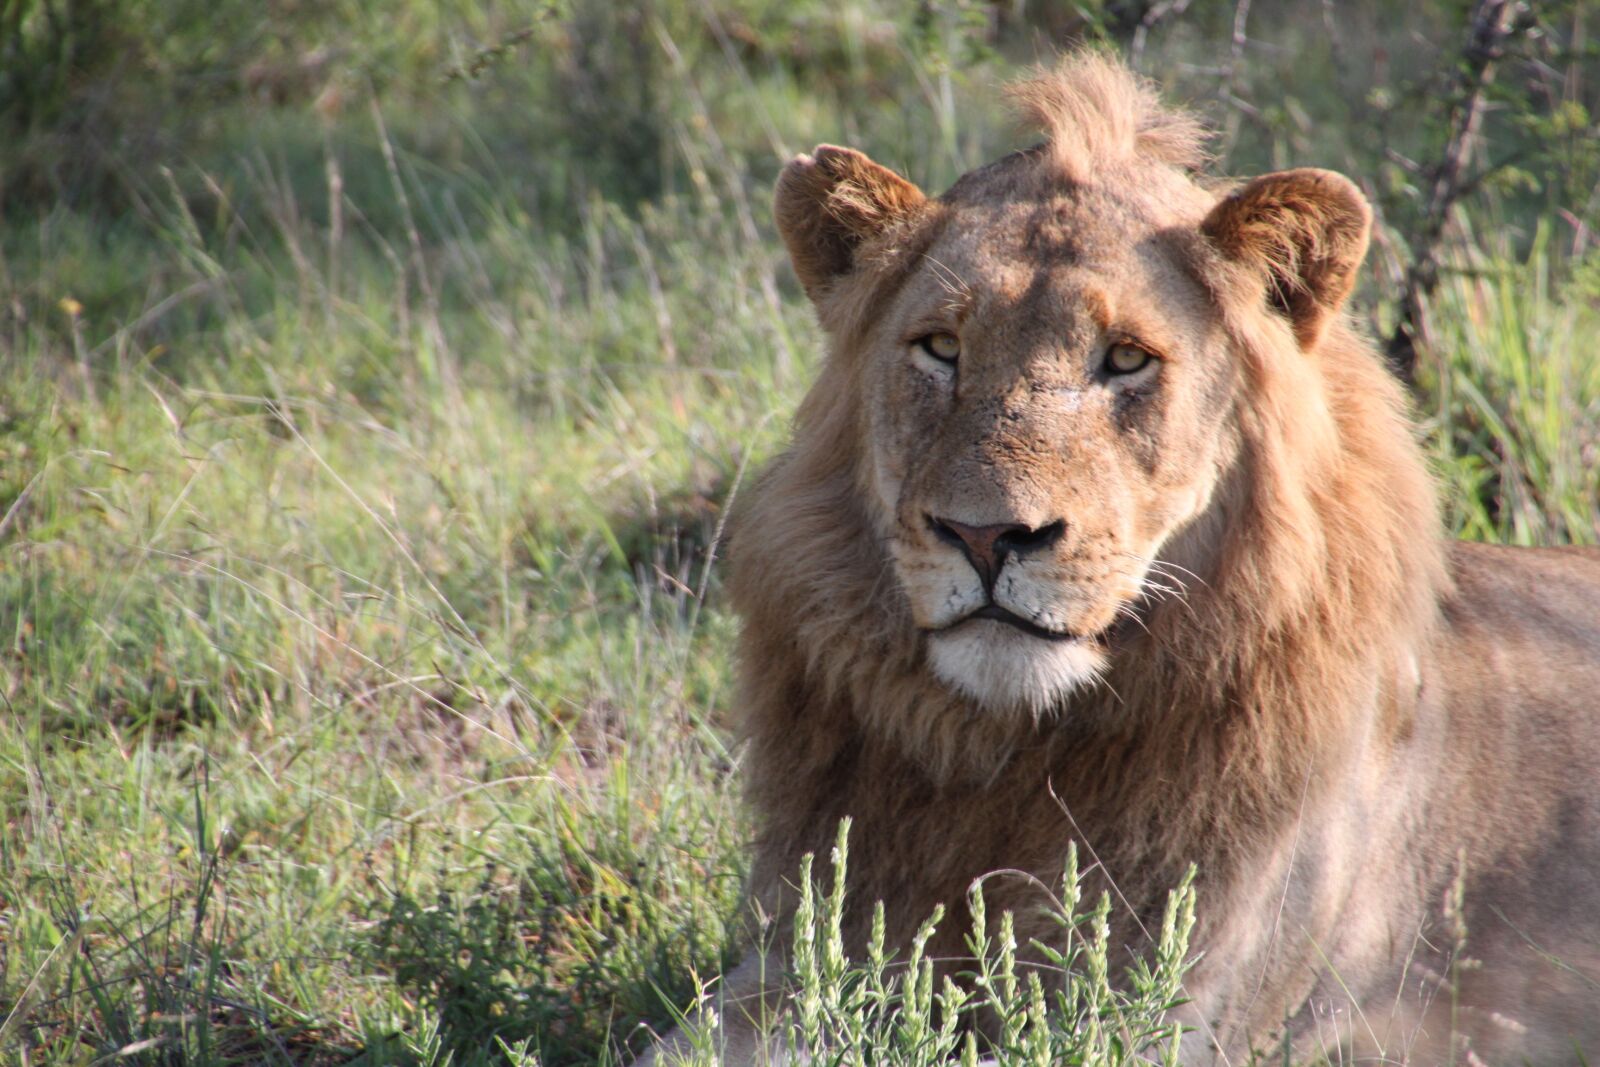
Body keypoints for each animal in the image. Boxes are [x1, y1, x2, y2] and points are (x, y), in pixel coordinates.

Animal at [641, 53, 1600, 1066]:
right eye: (940, 347)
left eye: (1127, 359)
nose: (987, 536)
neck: (1007, 755)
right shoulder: (803, 953)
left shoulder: (1172, 1004)